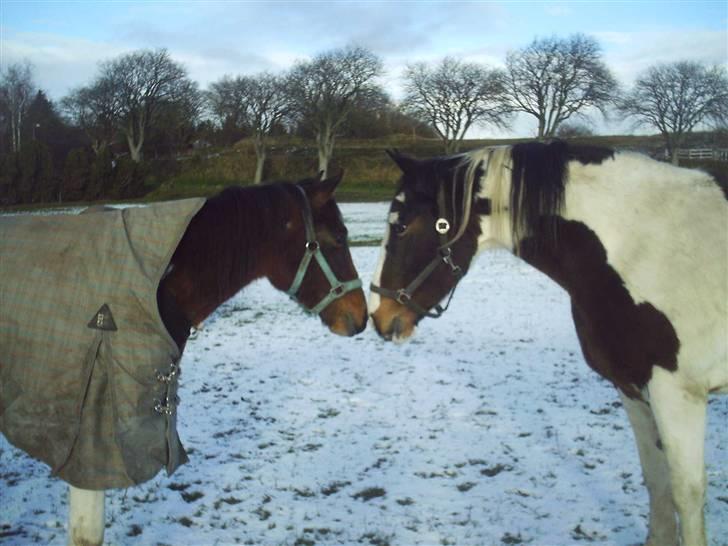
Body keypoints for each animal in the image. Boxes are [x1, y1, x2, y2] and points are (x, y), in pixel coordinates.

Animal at [372, 141, 724, 544]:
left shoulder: (677, 393)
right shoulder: (633, 388)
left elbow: (686, 493)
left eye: (400, 226)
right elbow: (656, 481)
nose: (378, 315)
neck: (644, 245)